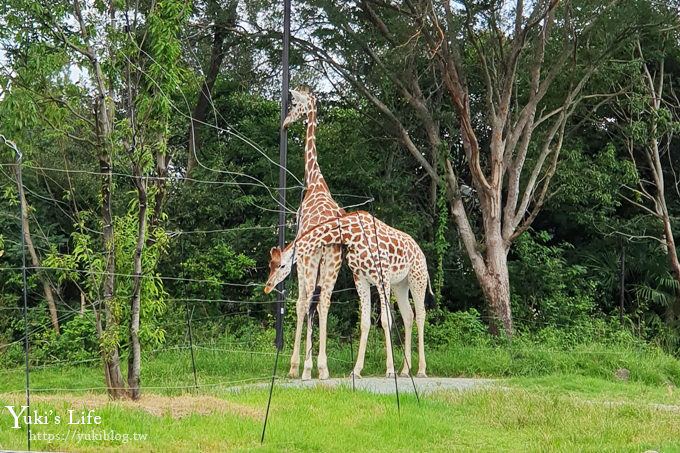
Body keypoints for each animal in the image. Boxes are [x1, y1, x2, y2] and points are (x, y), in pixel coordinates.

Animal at [262, 211, 428, 378]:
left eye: (282, 265)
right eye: (270, 264)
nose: (268, 286)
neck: (352, 235)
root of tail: (420, 252)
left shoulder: (382, 277)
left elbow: (386, 320)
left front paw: (390, 370)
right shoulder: (360, 278)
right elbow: (365, 323)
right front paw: (356, 370)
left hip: (417, 278)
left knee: (420, 314)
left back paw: (421, 370)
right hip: (400, 284)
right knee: (408, 315)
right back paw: (405, 370)